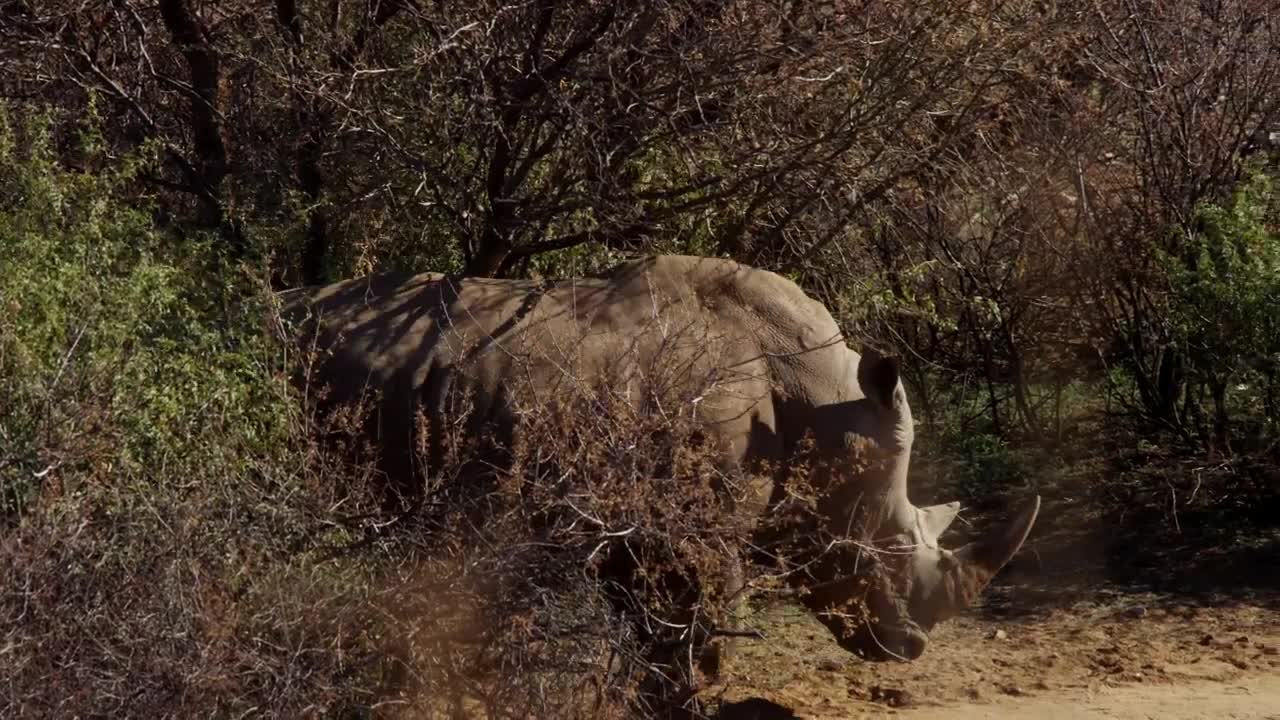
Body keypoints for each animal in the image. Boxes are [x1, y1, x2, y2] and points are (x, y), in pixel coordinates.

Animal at [278, 254, 1039, 665]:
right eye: (885, 548)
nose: (909, 649)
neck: (823, 402)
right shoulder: (692, 535)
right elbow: (695, 645)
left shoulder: (636, 529)